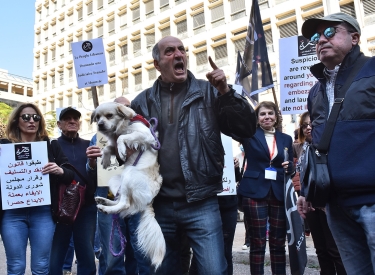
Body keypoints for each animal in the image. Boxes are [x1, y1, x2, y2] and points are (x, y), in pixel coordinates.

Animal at [90, 102, 165, 270]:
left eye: (109, 115)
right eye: (97, 117)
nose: (100, 125)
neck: (123, 125)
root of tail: (150, 200)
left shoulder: (147, 136)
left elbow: (122, 138)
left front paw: (122, 148)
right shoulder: (112, 144)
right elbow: (108, 147)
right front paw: (105, 160)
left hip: (130, 174)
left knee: (124, 204)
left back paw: (105, 208)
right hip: (117, 180)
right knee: (121, 202)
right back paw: (104, 202)